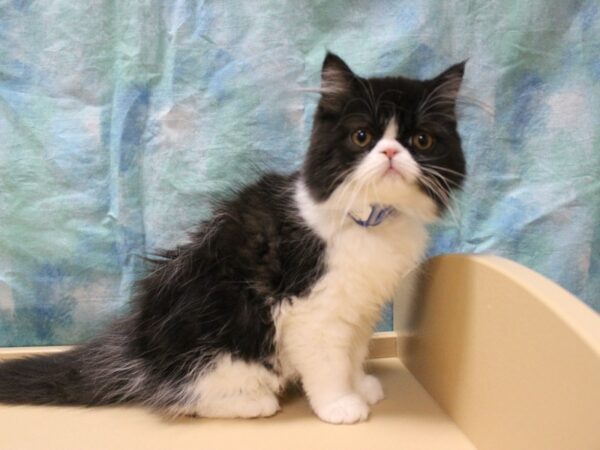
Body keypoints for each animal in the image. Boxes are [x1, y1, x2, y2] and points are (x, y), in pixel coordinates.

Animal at [0, 52, 466, 426]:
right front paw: (340, 406)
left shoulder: (360, 307)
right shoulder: (310, 308)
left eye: (421, 140)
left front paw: (361, 386)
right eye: (362, 137)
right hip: (220, 331)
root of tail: (139, 351)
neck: (372, 219)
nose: (390, 153)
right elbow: (329, 362)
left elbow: (353, 352)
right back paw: (252, 402)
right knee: (182, 396)